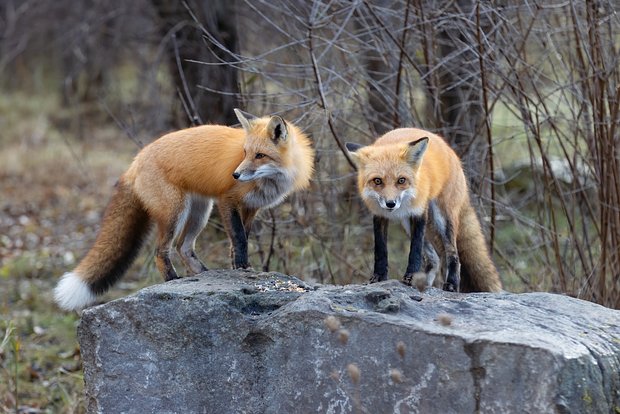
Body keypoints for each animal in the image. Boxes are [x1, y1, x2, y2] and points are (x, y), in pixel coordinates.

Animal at [53, 110, 314, 310]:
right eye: (245, 152)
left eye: (260, 155)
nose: (236, 175)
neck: (270, 182)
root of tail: (136, 160)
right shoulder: (227, 200)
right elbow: (239, 240)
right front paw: (242, 268)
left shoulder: (251, 209)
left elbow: (238, 241)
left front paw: (237, 268)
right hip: (175, 213)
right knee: (161, 251)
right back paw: (172, 281)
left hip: (200, 213)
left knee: (183, 247)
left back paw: (202, 274)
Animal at [346, 128, 502, 292]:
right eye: (377, 181)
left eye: (401, 180)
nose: (390, 204)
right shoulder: (379, 215)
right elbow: (380, 250)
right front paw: (379, 276)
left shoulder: (419, 213)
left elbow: (415, 249)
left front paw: (410, 276)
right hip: (407, 224)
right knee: (435, 258)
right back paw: (424, 283)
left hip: (442, 219)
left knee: (453, 254)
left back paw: (451, 284)